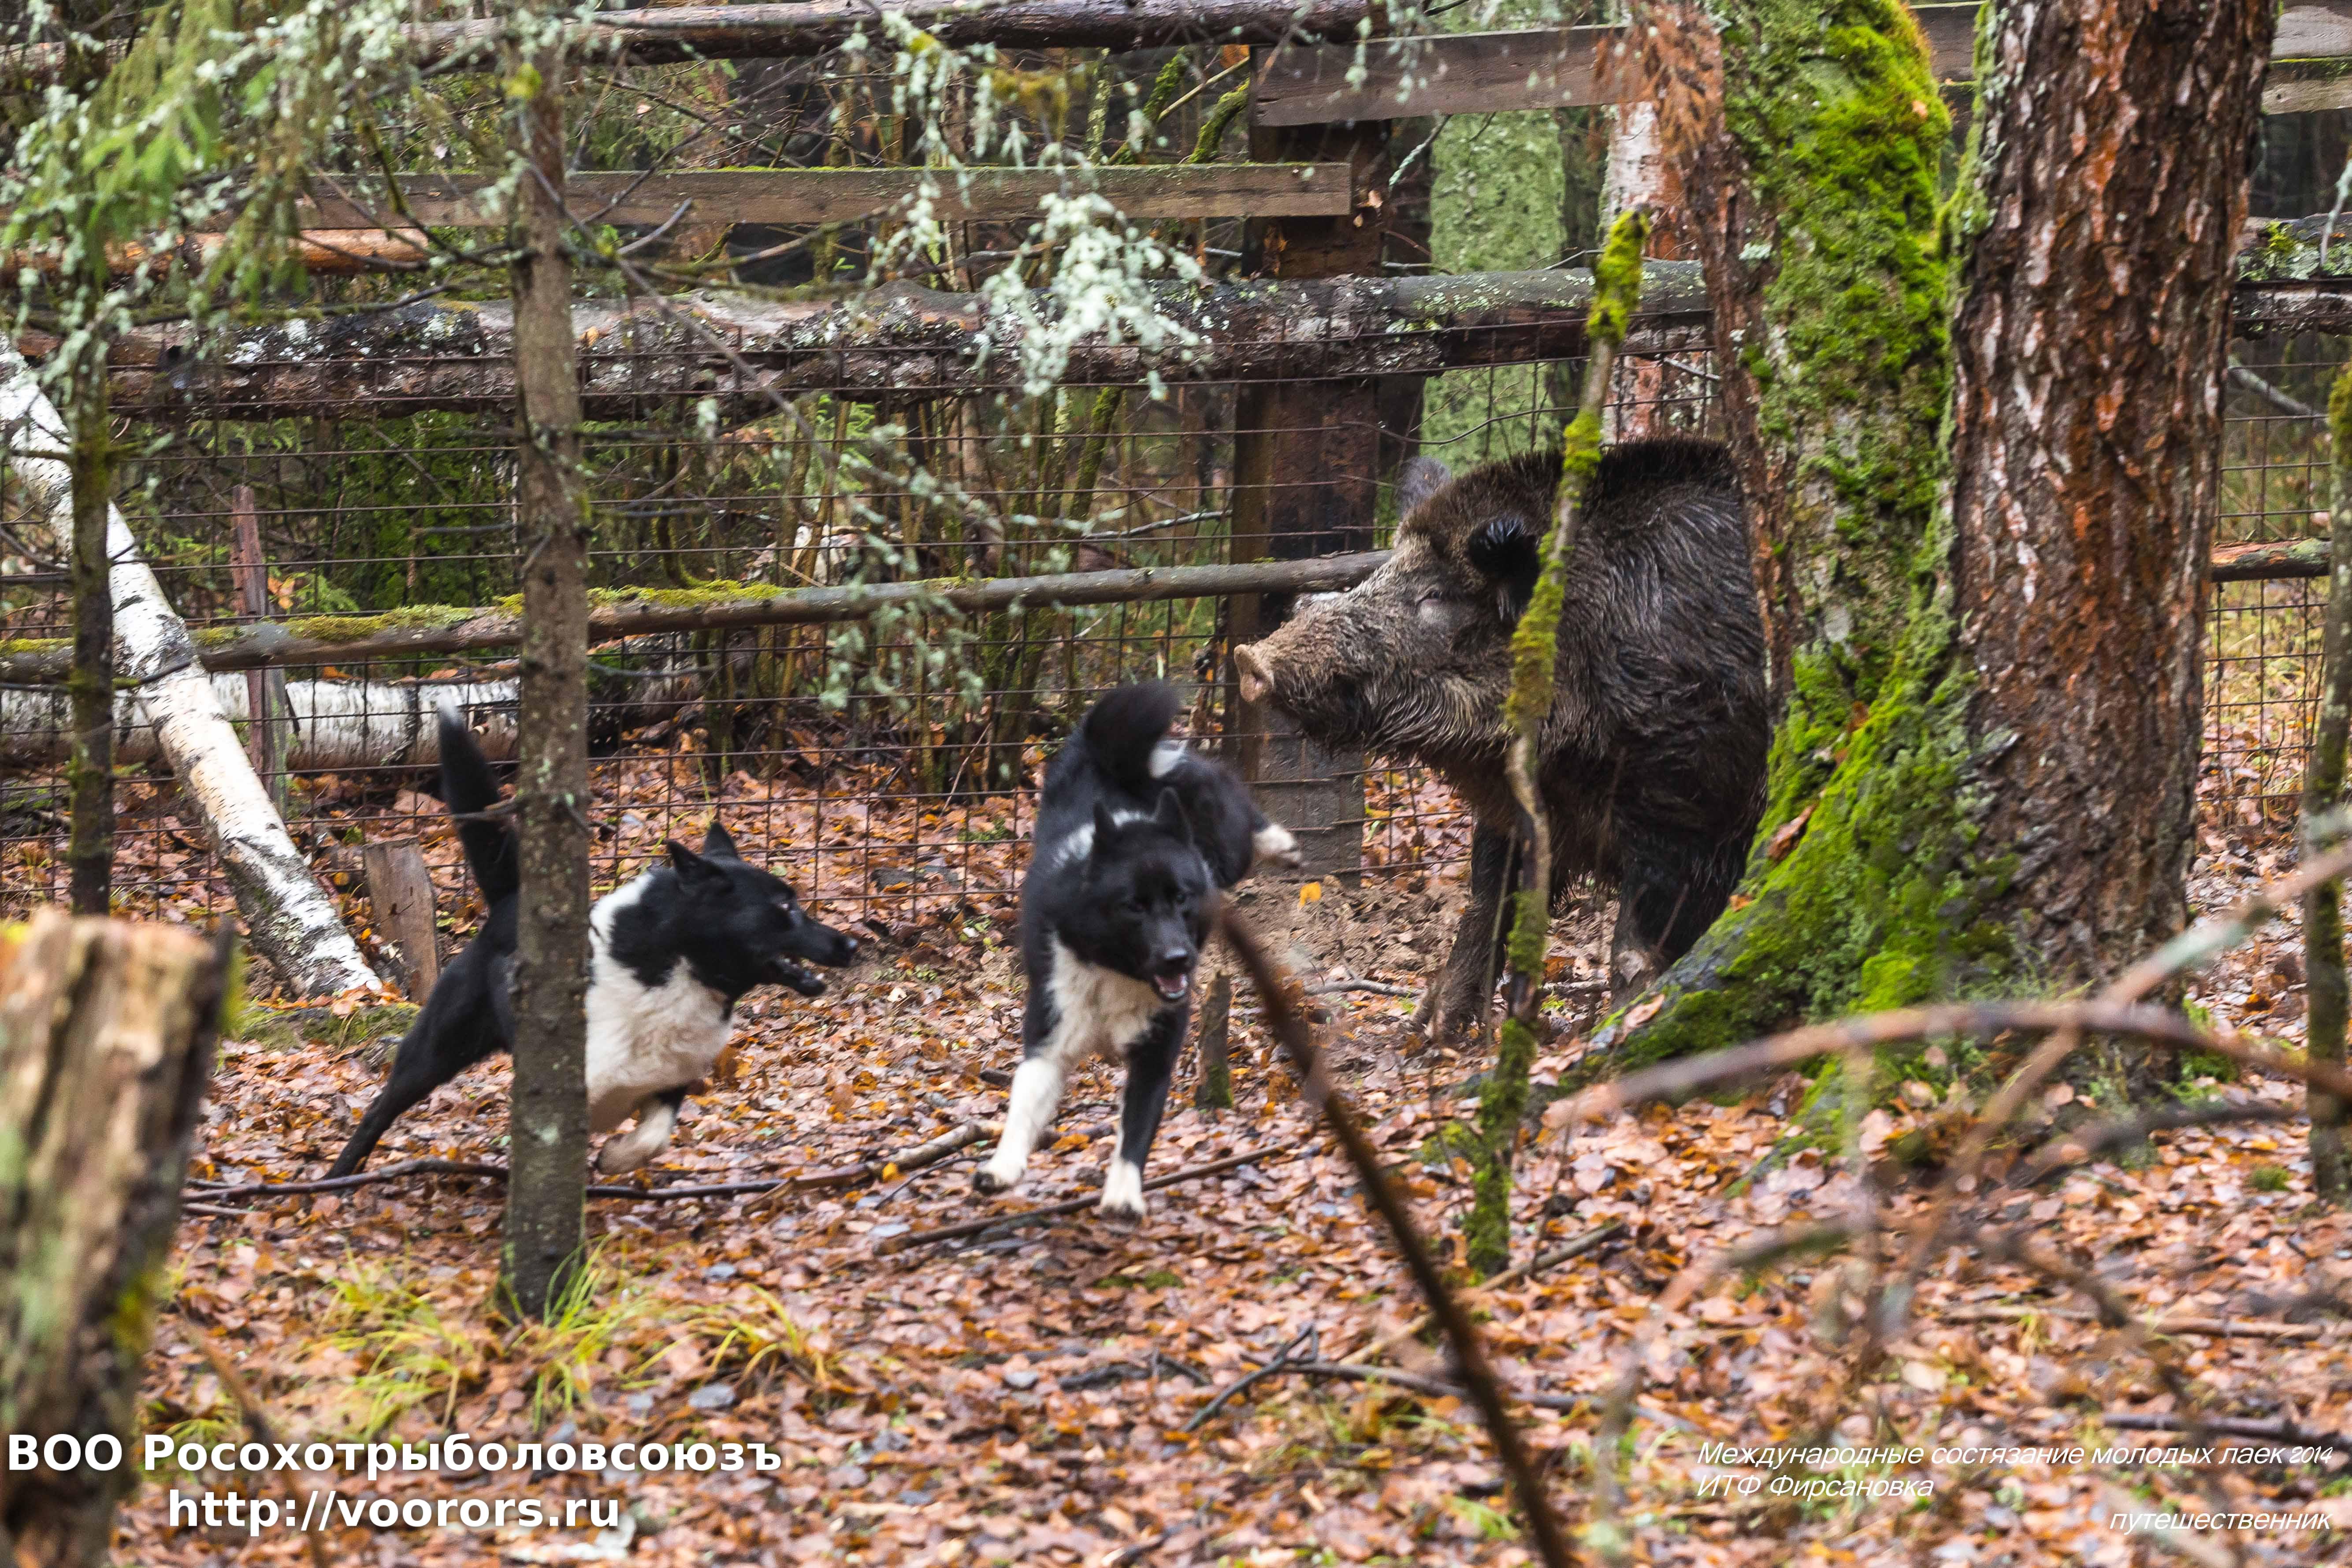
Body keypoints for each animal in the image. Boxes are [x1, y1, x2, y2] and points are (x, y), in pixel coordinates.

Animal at [327, 703, 859, 1178]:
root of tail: (512, 902)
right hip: (437, 1049)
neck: (677, 970)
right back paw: (339, 1177)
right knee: (379, 1111)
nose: (850, 946)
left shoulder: (671, 1081)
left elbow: (652, 1137)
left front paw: (615, 1159)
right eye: (785, 909)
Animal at [975, 682, 1298, 1220]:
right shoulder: (1052, 1029)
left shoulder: (1156, 1050)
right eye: (1134, 907)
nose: (1178, 960)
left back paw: (1281, 842)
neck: (1118, 972)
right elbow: (1023, 1102)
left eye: (1182, 899)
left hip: (1220, 841)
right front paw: (1002, 1166)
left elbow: (1137, 1128)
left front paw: (1123, 1195)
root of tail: (1106, 754)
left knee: (1235, 812)